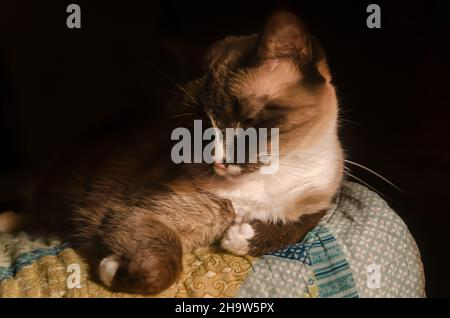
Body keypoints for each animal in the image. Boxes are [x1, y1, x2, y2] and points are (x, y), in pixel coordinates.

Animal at [0, 9, 344, 294]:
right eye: (199, 124)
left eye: (246, 121)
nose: (217, 161)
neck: (271, 176)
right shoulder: (139, 214)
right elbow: (165, 266)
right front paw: (111, 270)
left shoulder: (324, 197)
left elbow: (301, 223)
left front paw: (238, 238)